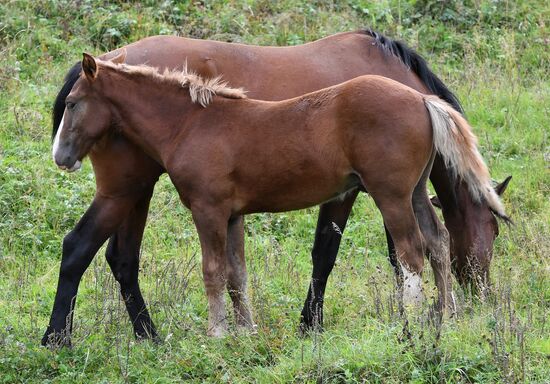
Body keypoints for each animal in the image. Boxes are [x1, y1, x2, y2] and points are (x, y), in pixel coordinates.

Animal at [44, 30, 512, 346]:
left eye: (73, 104)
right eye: (493, 230)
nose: (61, 155)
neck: (193, 119)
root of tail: (421, 101)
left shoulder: (221, 209)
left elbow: (235, 268)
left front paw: (249, 331)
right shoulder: (233, 210)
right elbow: (239, 270)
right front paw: (252, 331)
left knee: (424, 246)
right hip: (128, 187)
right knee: (92, 250)